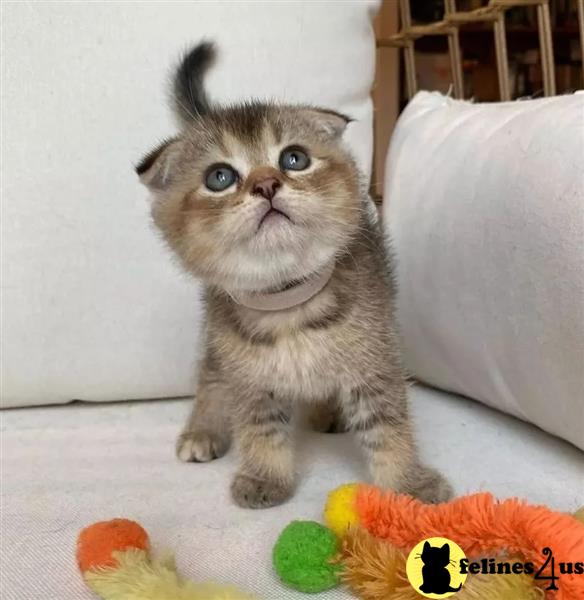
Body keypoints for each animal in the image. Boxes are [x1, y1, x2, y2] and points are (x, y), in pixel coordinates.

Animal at [138, 42, 452, 508]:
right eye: (219, 177)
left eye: (294, 158)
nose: (267, 184)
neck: (288, 305)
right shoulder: (248, 377)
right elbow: (261, 429)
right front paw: (265, 478)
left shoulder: (375, 359)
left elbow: (387, 425)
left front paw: (408, 483)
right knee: (210, 376)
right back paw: (203, 429)